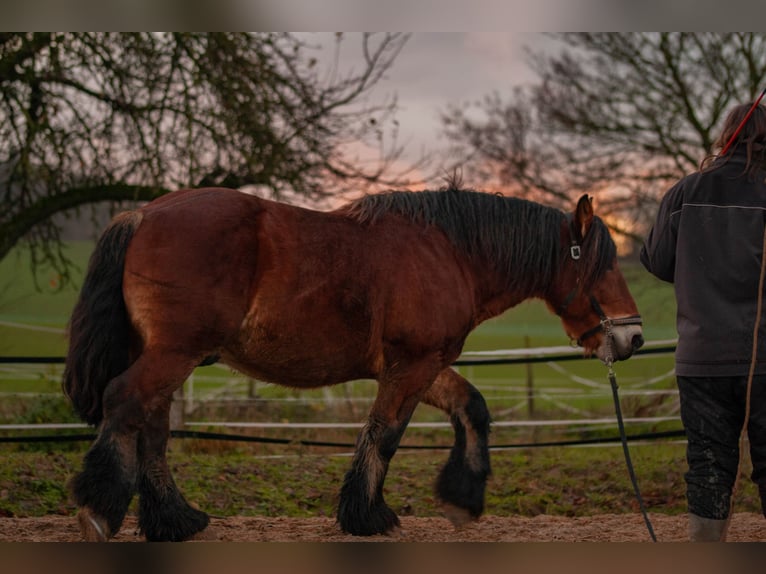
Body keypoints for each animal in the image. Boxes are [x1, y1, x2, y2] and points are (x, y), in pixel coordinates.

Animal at [64, 186, 640, 544]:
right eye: (602, 264)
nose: (632, 336)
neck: (449, 252)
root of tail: (142, 215)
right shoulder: (411, 366)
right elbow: (385, 433)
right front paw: (367, 515)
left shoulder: (423, 365)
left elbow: (470, 408)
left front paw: (462, 497)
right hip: (173, 354)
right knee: (126, 405)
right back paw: (101, 509)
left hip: (166, 356)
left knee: (151, 428)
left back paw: (175, 521)